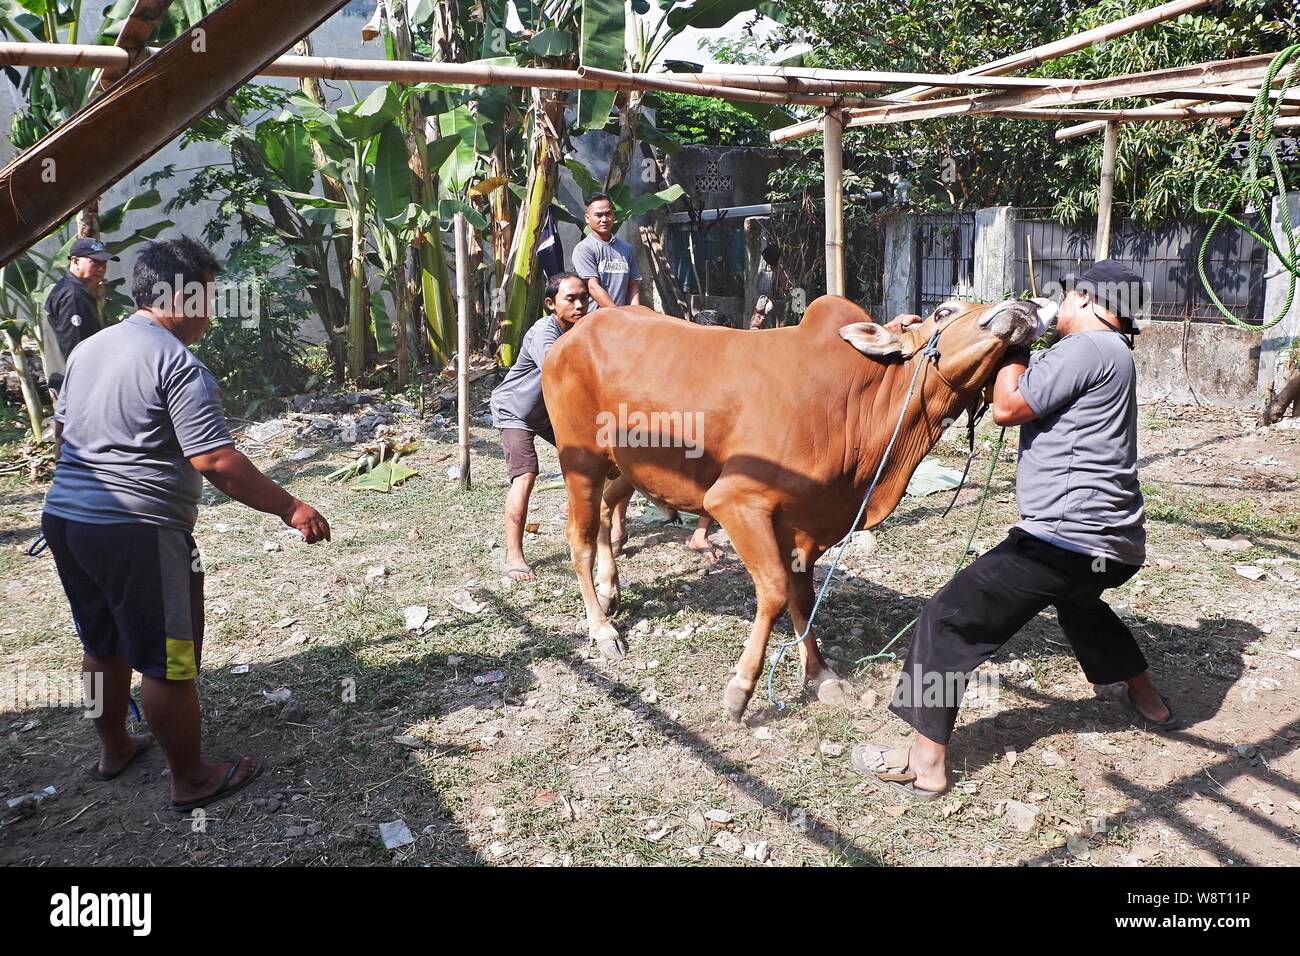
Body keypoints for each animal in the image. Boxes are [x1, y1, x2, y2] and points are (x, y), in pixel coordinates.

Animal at [543, 295, 1050, 723]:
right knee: (578, 538)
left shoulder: (807, 525)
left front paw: (821, 675)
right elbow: (773, 591)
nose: (1025, 306)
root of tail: (573, 334)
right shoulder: (734, 500)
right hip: (580, 459)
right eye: (944, 310)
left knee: (606, 510)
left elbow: (802, 596)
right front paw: (741, 690)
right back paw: (602, 628)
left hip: (628, 464)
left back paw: (610, 590)